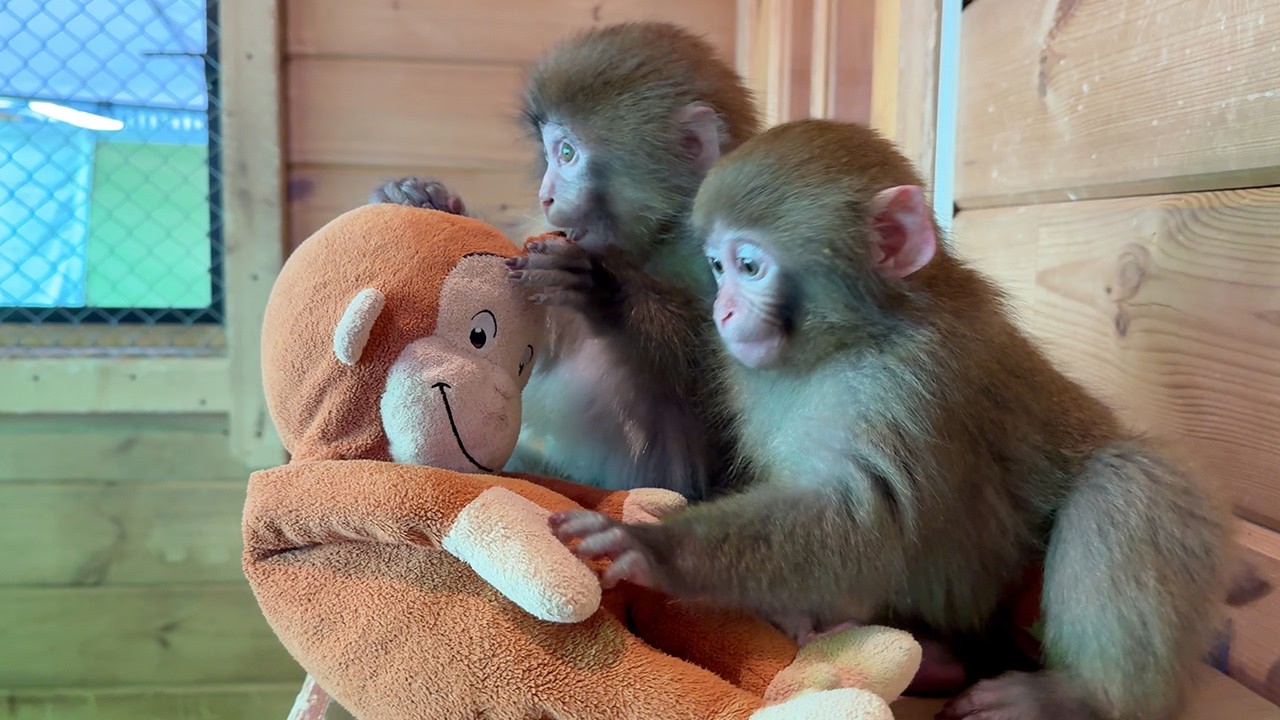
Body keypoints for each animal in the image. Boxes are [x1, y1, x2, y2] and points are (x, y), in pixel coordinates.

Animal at [549, 119, 1231, 720]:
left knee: (1126, 478)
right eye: (716, 267)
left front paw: (658, 547)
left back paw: (1080, 698)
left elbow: (870, 515)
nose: (723, 311)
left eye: (750, 267)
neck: (850, 340)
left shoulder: (910, 379)